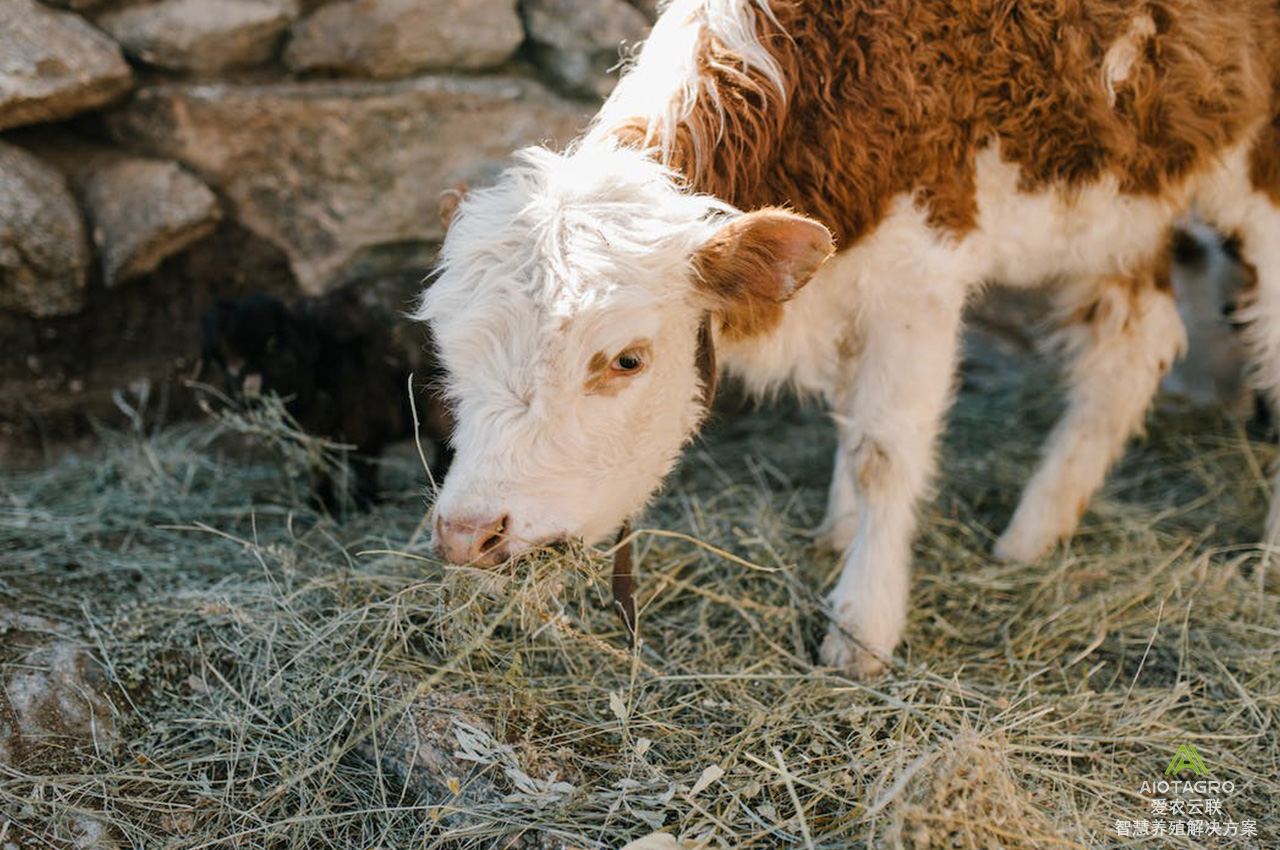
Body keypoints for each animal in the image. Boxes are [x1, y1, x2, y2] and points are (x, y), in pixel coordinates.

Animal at [417, 0, 1280, 675]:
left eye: (626, 359)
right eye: (450, 358)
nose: (466, 534)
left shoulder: (920, 272)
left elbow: (882, 451)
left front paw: (863, 623)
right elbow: (847, 409)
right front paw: (836, 530)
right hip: (1126, 195)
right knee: (1136, 345)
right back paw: (1033, 532)